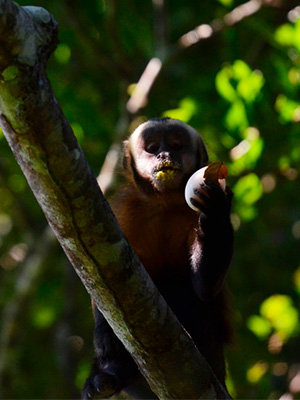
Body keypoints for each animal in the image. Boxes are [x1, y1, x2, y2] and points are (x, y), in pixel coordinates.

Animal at [82, 117, 234, 398]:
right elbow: (101, 282)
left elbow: (204, 289)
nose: (164, 155)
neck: (164, 202)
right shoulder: (121, 210)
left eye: (175, 145)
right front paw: (109, 359)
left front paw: (216, 209)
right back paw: (111, 373)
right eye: (153, 148)